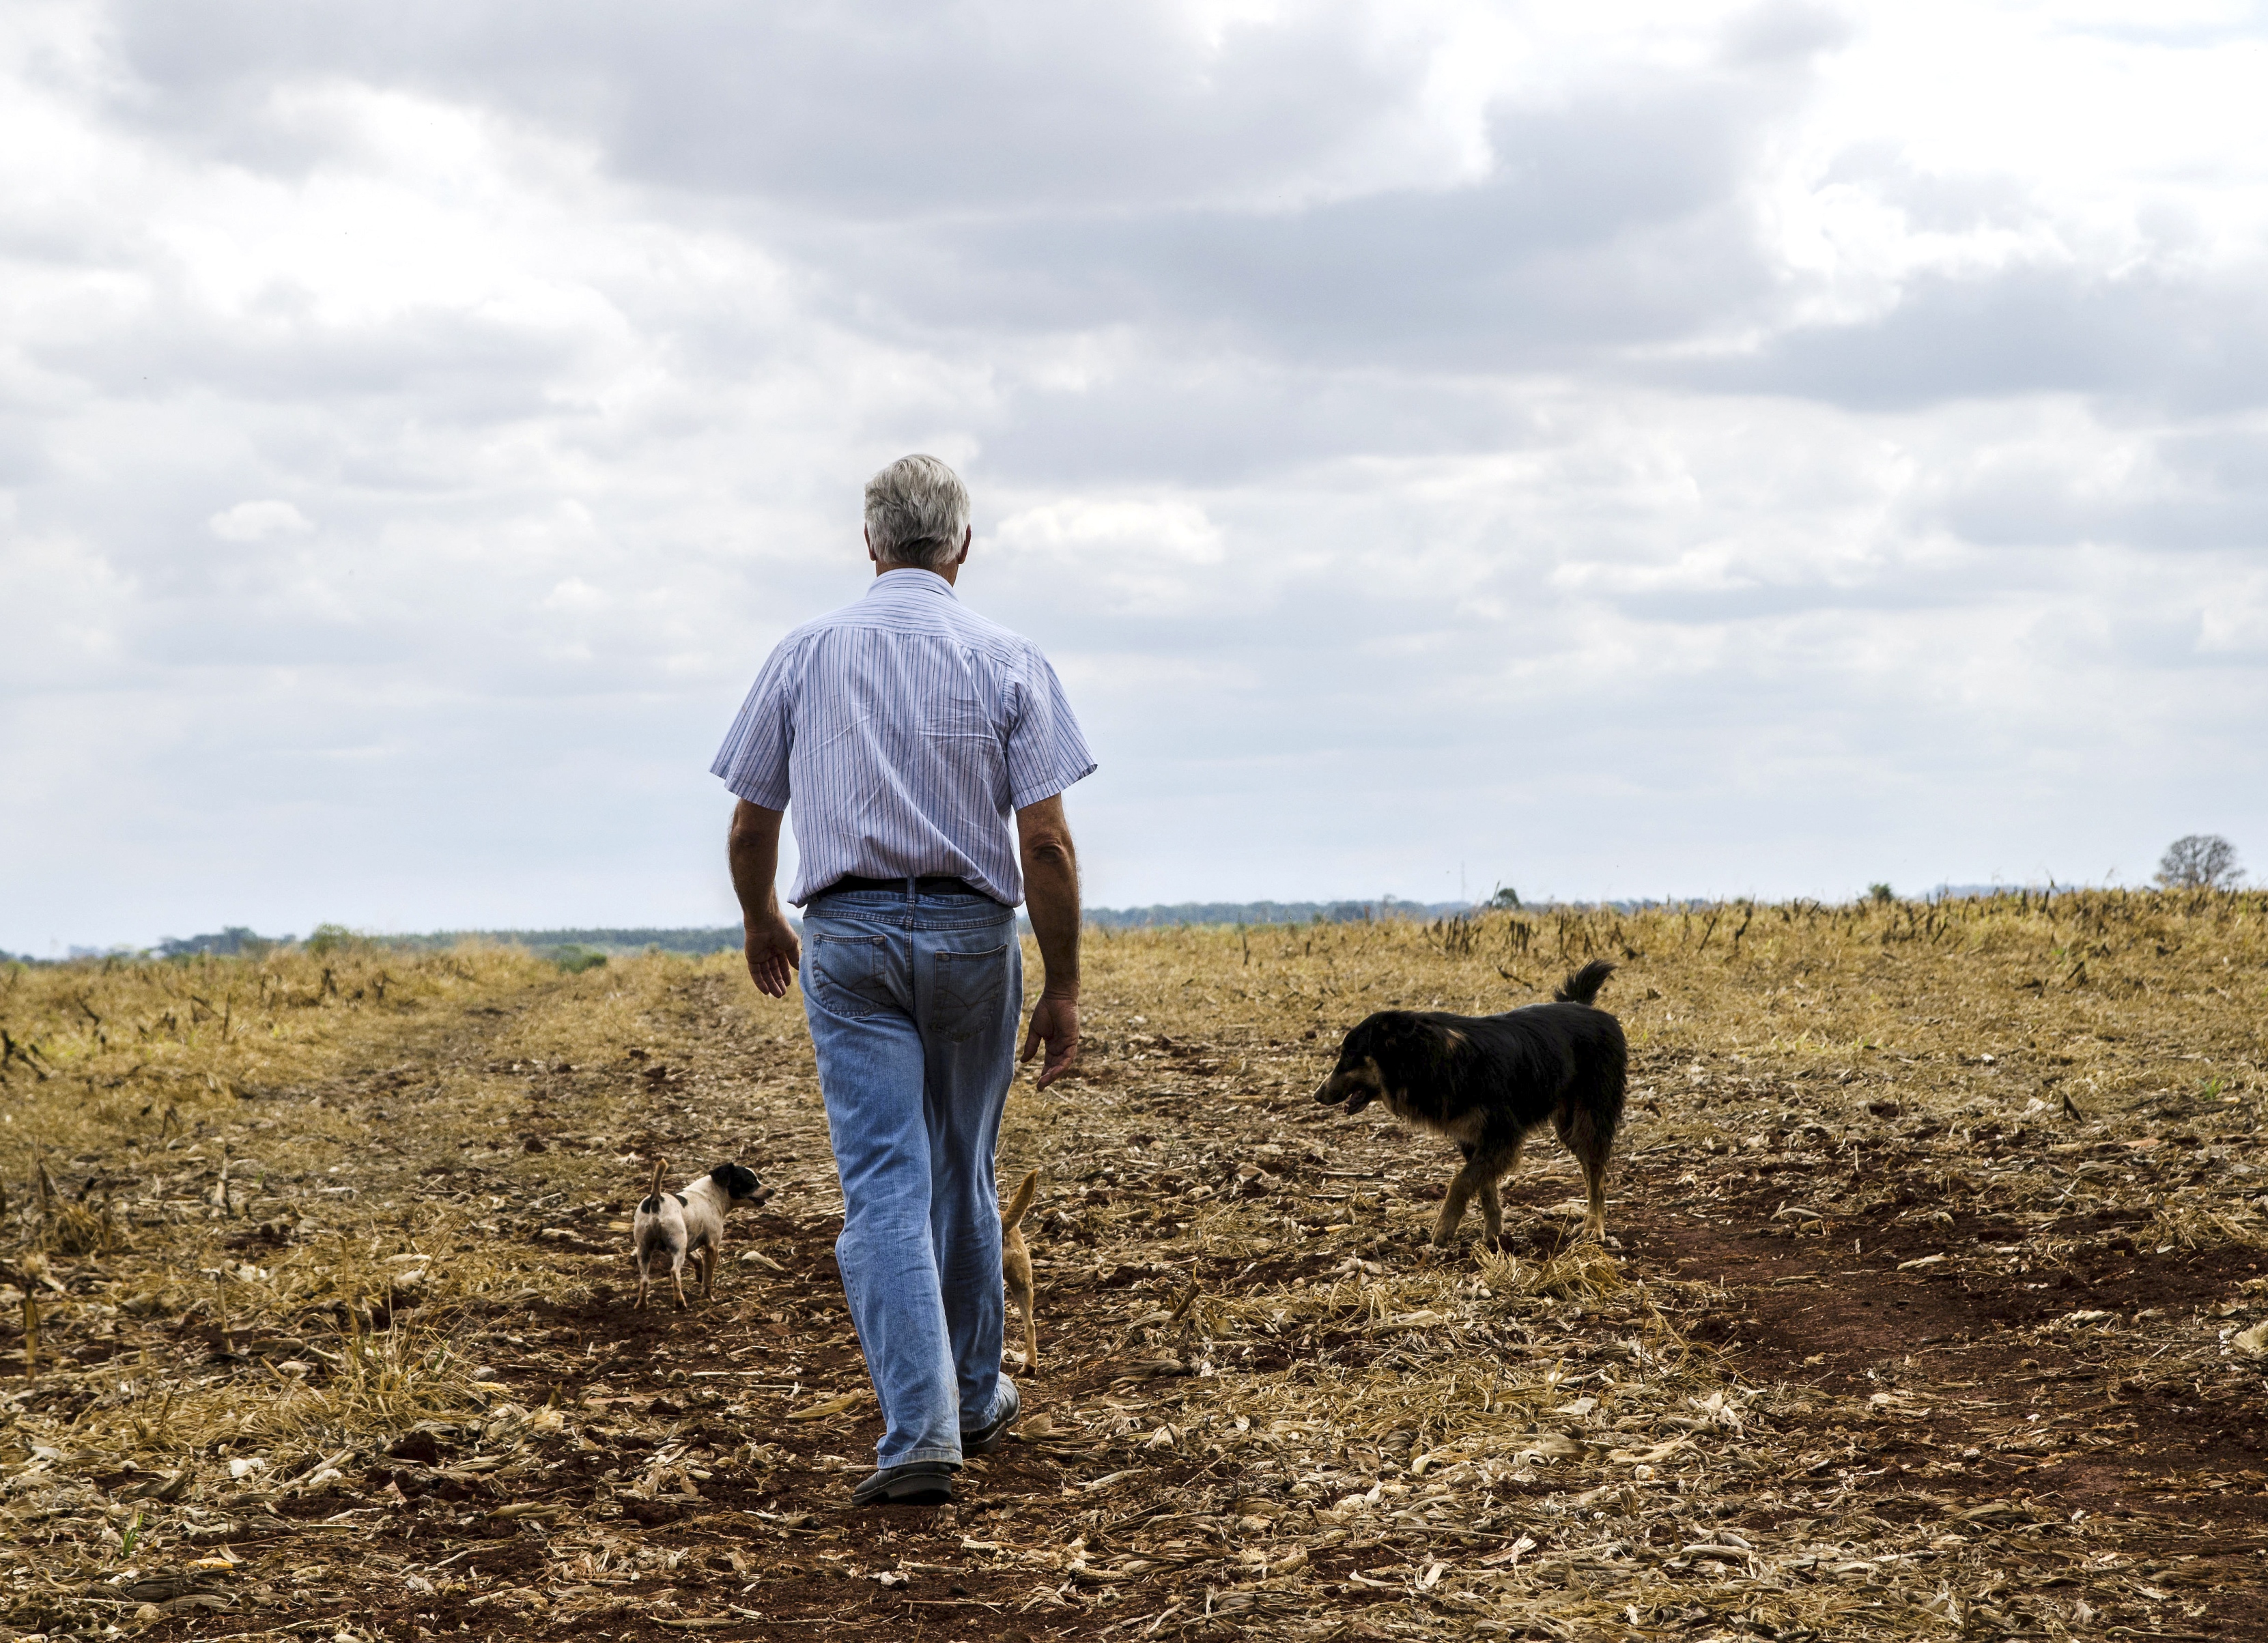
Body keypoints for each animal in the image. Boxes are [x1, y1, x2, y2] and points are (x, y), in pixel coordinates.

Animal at [639, 1156, 771, 1305]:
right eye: (750, 1181)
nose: (772, 1191)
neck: (711, 1195)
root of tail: (656, 1199)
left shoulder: (687, 1243)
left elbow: (697, 1259)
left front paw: (699, 1275)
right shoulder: (712, 1247)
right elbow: (708, 1278)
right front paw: (707, 1297)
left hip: (646, 1250)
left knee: (644, 1279)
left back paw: (641, 1305)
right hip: (677, 1248)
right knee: (674, 1271)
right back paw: (679, 1302)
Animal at [1315, 960, 1632, 1242]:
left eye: (1348, 1055)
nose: (1317, 1095)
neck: (1429, 1058)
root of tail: (1585, 1007)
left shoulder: (1502, 1136)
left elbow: (1461, 1181)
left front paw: (1444, 1229)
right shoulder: (1473, 1138)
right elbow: (1484, 1187)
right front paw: (1493, 1234)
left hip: (1591, 1115)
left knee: (1596, 1173)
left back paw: (1594, 1227)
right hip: (1567, 1122)